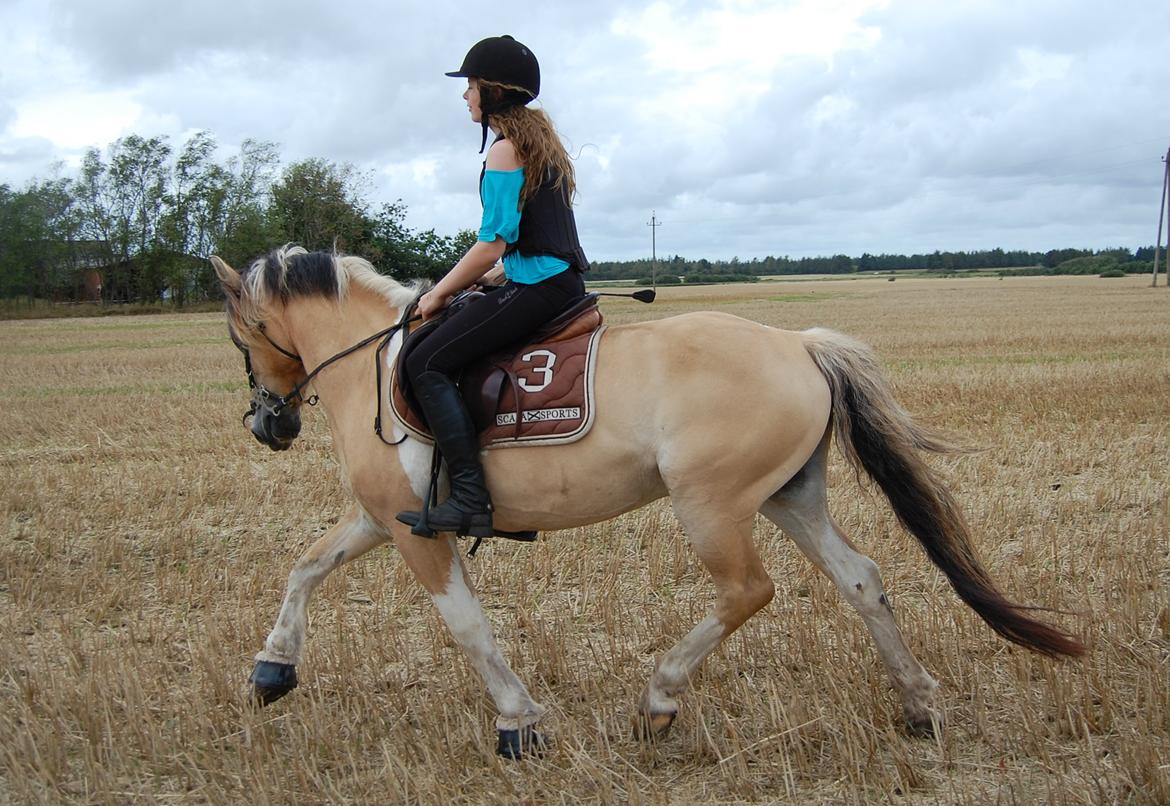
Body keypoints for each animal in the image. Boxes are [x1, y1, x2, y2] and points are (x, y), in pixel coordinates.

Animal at [208, 243, 1076, 753]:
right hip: (788, 496)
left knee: (746, 590)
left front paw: (518, 721)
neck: (375, 366)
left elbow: (466, 627)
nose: (266, 422)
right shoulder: (378, 517)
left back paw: (659, 698)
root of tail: (798, 344)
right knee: (860, 579)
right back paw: (919, 704)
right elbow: (305, 567)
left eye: (237, 334)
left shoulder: (419, 532)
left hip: (711, 506)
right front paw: (271, 670)